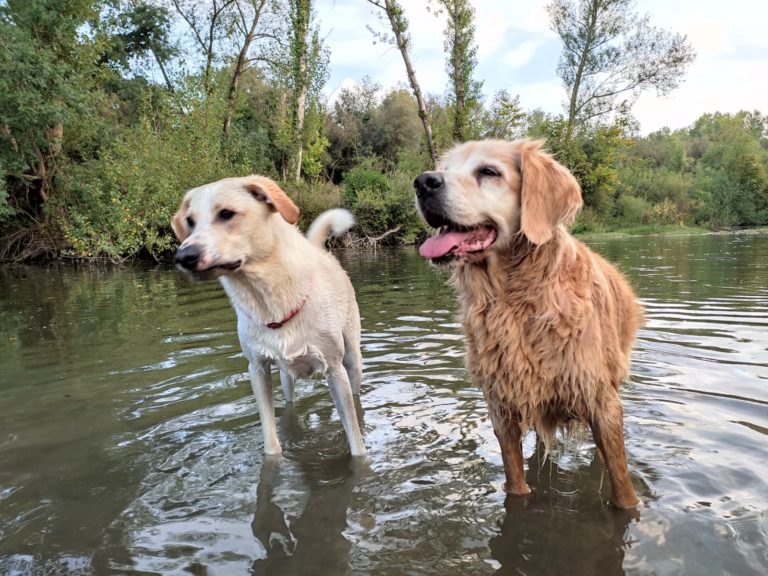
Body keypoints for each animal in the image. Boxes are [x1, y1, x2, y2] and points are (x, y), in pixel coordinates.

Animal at [172, 176, 364, 454]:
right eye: (190, 221)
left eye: (226, 213)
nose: (184, 256)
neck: (269, 301)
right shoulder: (257, 369)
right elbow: (271, 438)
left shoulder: (335, 371)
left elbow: (356, 441)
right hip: (285, 377)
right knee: (290, 401)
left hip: (352, 360)